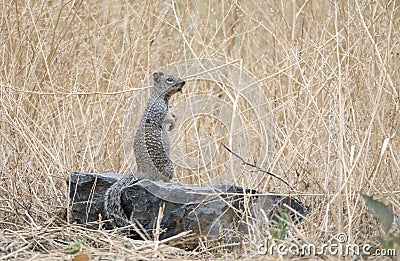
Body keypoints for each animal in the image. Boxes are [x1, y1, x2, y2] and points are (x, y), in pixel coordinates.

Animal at [103, 71, 184, 228]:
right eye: (169, 79)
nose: (183, 82)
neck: (160, 97)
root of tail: (141, 172)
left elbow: (173, 115)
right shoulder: (160, 111)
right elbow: (169, 118)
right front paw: (172, 124)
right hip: (169, 166)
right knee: (163, 180)